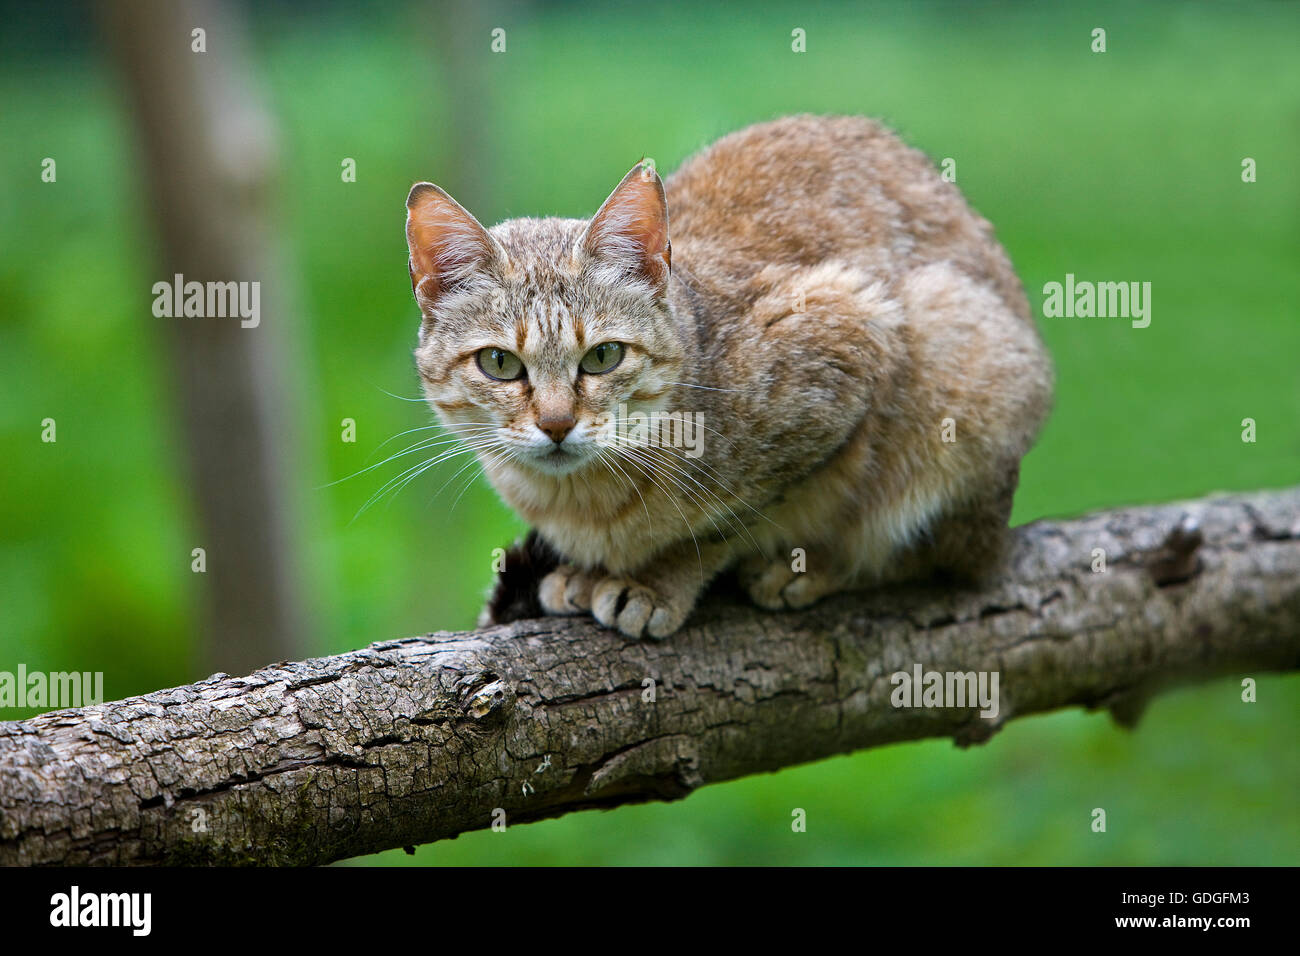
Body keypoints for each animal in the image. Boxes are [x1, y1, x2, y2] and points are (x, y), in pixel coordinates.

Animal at [405, 115, 1055, 639]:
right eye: (499, 364)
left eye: (603, 357)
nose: (558, 424)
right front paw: (589, 572)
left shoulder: (850, 335)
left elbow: (733, 518)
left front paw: (657, 580)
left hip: (959, 354)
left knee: (945, 556)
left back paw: (818, 567)